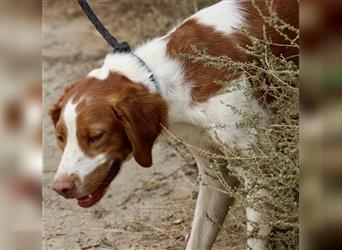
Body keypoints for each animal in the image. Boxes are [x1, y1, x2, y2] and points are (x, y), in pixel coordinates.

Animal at [49, 0, 298, 249]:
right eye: (60, 138)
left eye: (96, 136)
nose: (61, 188)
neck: (168, 79)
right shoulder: (215, 173)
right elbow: (198, 237)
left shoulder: (258, 172)